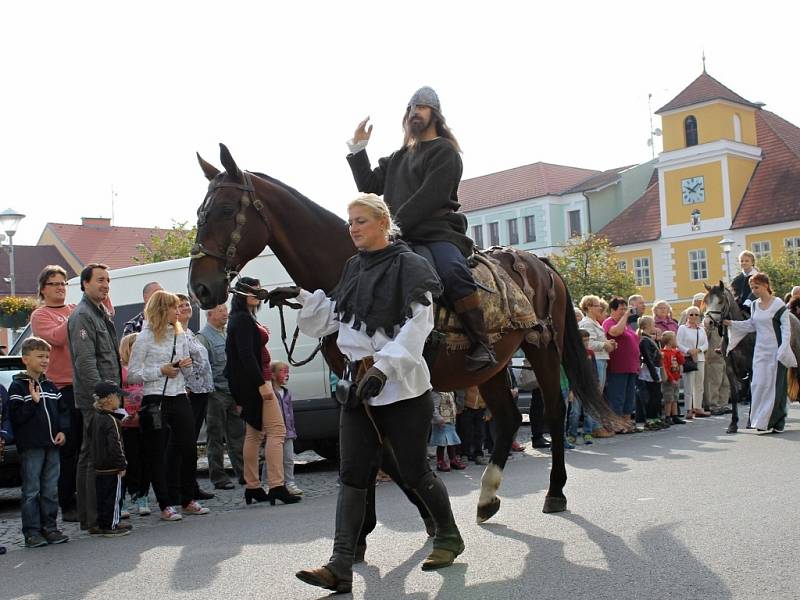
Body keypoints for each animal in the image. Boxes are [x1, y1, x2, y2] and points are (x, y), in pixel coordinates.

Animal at [188, 143, 620, 524]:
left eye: (224, 210)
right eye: (200, 213)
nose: (201, 288)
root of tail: (540, 263)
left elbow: (389, 452)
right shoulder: (357, 383)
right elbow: (378, 454)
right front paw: (388, 522)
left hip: (541, 348)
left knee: (554, 409)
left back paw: (554, 492)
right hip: (493, 365)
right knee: (510, 417)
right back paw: (486, 497)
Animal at [704, 282, 752, 432]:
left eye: (720, 301)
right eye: (706, 301)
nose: (707, 322)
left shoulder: (751, 367)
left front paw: (750, 421)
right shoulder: (730, 368)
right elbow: (735, 394)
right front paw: (733, 423)